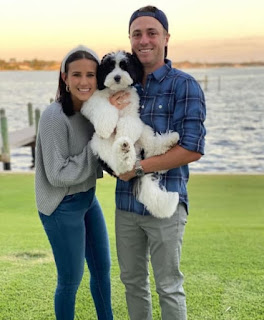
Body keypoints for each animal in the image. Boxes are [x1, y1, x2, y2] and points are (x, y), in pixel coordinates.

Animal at [80, 50, 179, 219]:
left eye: (125, 66)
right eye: (110, 67)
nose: (117, 77)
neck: (116, 91)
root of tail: (137, 157)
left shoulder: (132, 113)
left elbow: (127, 124)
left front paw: (122, 134)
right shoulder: (91, 102)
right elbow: (103, 108)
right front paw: (106, 126)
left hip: (145, 130)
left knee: (151, 149)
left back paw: (165, 142)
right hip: (100, 144)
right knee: (121, 167)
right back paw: (124, 151)